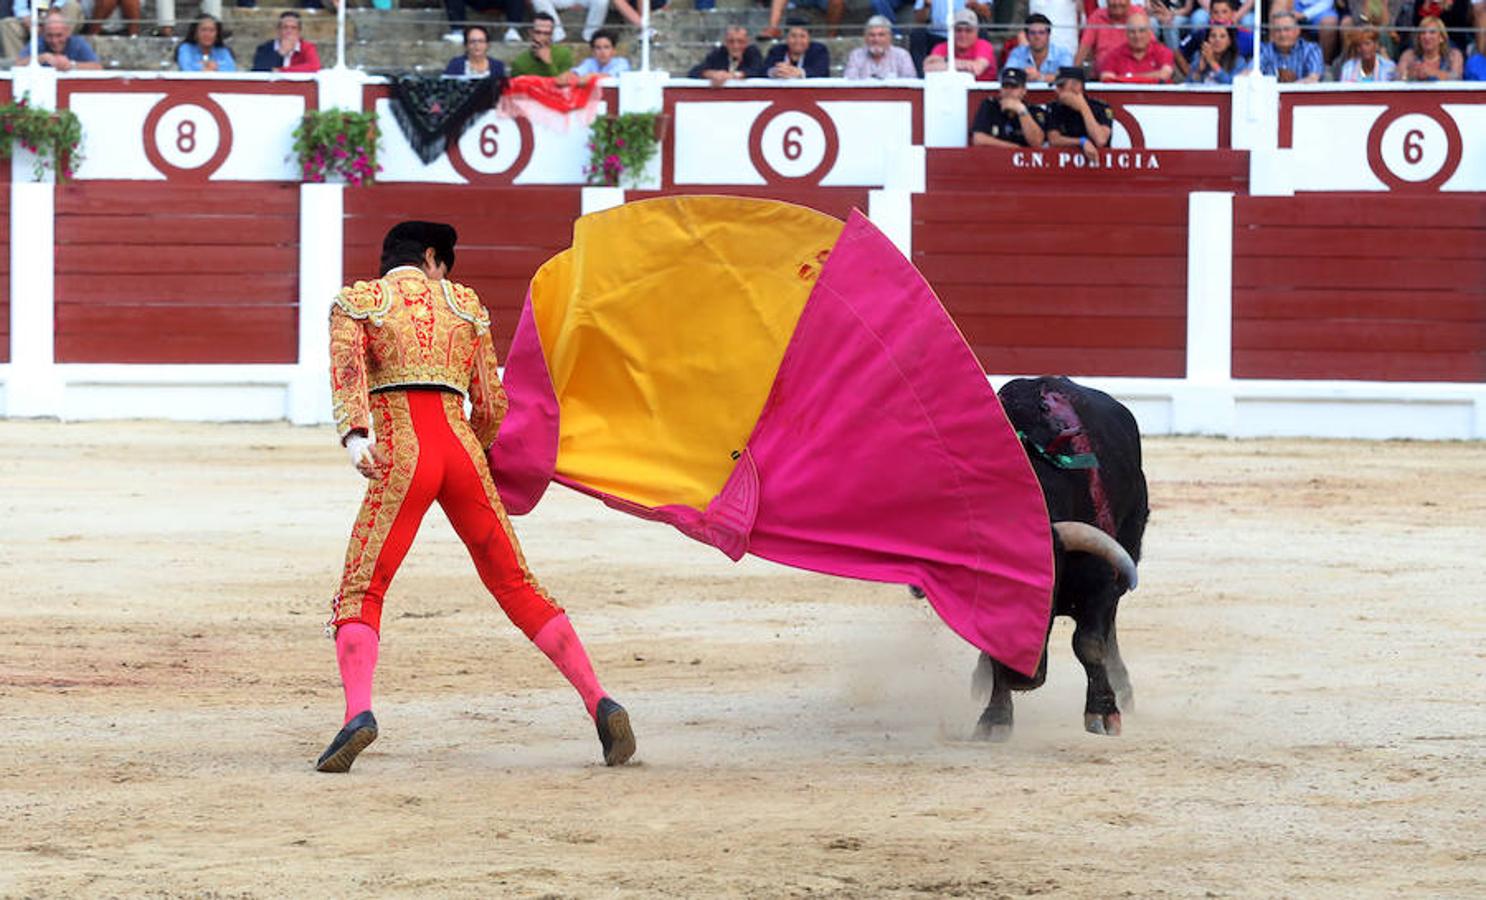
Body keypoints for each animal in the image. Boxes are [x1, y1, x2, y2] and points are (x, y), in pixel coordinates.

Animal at [974, 377, 1147, 745]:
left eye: (1047, 591)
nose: (1020, 676)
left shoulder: (1101, 583)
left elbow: (1090, 643)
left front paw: (1103, 712)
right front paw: (995, 717)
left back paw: (1123, 687)